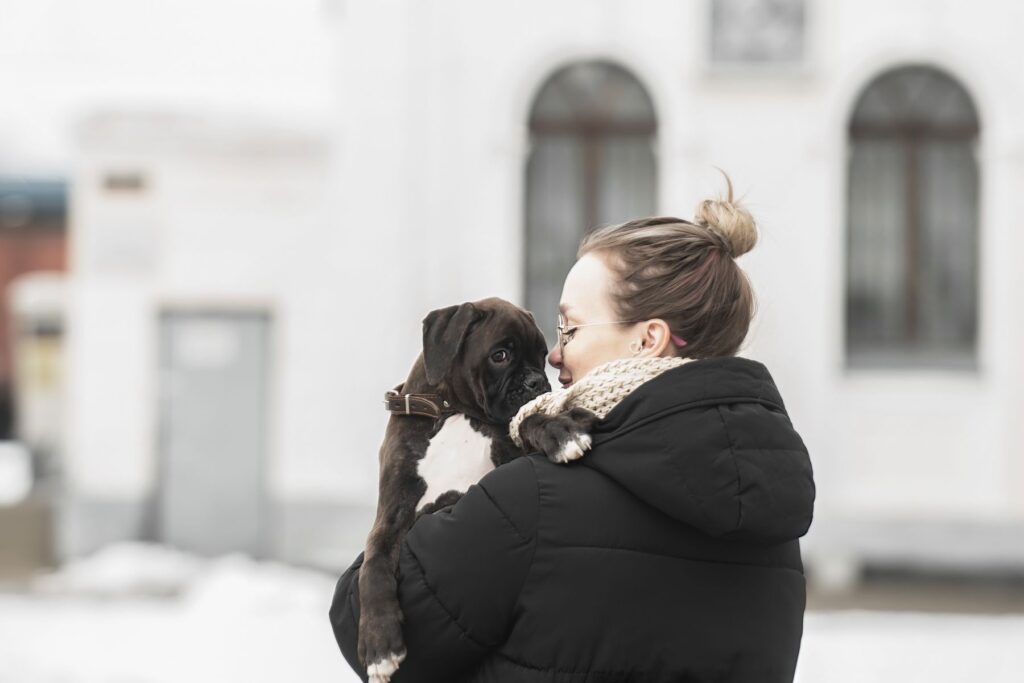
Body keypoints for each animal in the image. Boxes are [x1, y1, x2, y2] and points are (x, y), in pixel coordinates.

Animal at [358, 296, 557, 683]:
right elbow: (372, 568)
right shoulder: (392, 516)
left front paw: (556, 428)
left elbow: (526, 425)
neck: (452, 411)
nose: (537, 381)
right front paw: (379, 645)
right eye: (500, 355)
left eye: (542, 356)